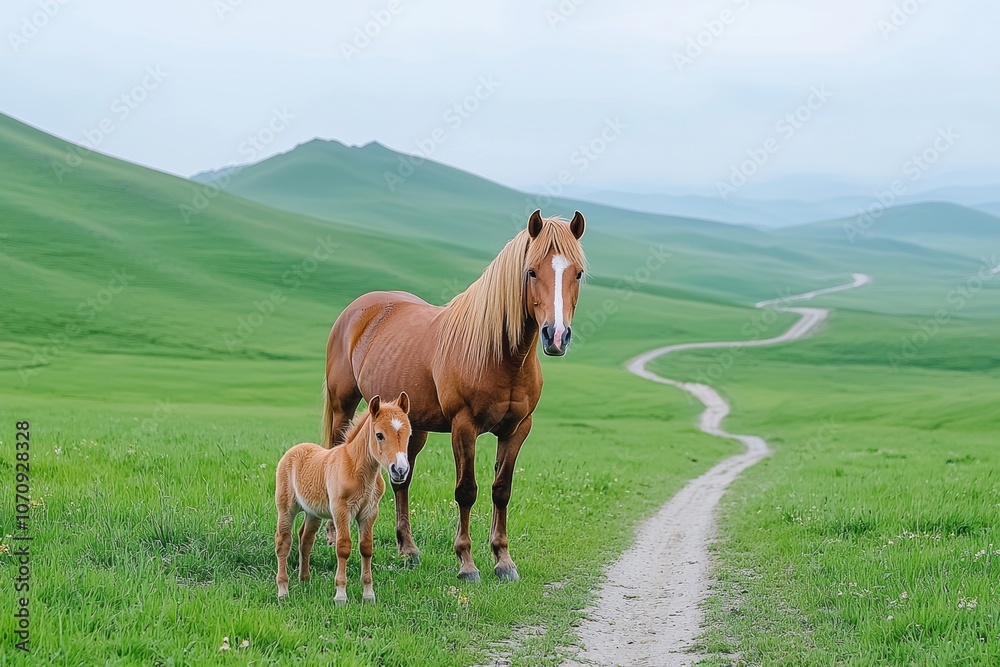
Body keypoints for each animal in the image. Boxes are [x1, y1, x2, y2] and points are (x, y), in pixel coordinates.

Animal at [275, 393, 412, 602]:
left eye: (409, 435)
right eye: (379, 435)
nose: (400, 470)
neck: (357, 468)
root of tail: (294, 450)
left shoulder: (369, 512)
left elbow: (366, 547)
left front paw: (368, 595)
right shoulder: (341, 511)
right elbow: (343, 547)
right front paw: (340, 595)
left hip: (313, 512)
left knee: (306, 539)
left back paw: (305, 581)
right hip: (286, 508)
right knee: (283, 541)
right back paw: (283, 590)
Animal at [321, 210, 586, 581]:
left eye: (578, 273)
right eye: (532, 271)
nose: (557, 336)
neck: (501, 355)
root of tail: (359, 309)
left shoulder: (518, 429)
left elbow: (501, 490)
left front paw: (503, 560)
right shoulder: (464, 427)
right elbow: (466, 491)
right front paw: (467, 563)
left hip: (411, 425)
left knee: (402, 480)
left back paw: (408, 549)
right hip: (342, 405)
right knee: (336, 452)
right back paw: (333, 535)